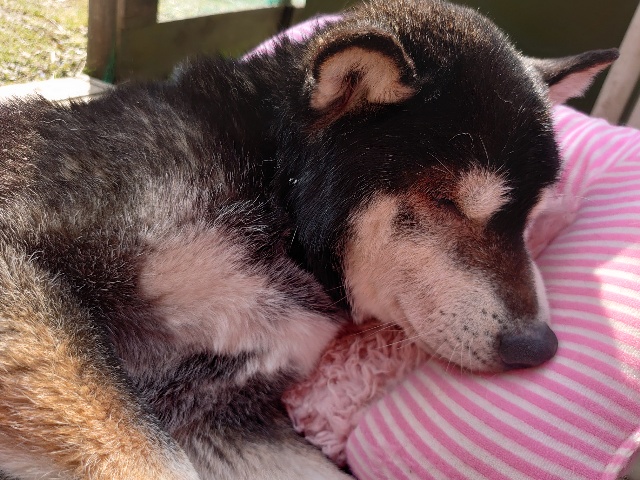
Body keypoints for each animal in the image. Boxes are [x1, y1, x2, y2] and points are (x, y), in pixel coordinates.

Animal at [0, 0, 616, 478]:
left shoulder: (220, 416)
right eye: (447, 202)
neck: (277, 198)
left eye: (530, 217)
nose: (538, 346)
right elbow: (146, 458)